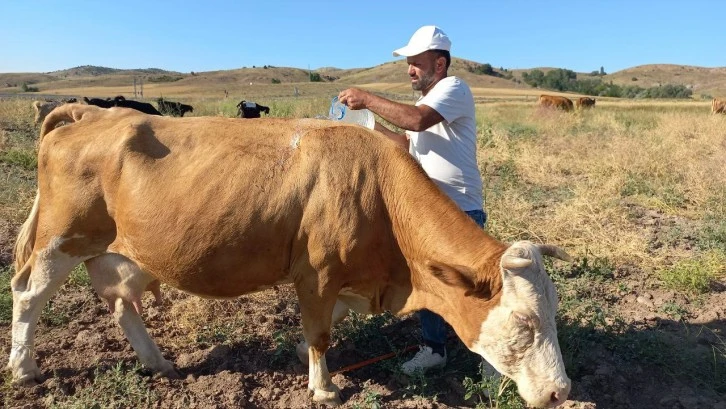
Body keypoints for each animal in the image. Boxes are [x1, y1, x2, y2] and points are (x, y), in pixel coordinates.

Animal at [7, 103, 576, 406]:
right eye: (524, 323)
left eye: (553, 316)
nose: (561, 392)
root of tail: (92, 111)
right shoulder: (318, 273)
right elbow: (322, 329)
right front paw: (323, 388)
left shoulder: (340, 278)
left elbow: (328, 323)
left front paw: (305, 358)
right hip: (61, 240)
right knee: (28, 297)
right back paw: (24, 367)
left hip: (117, 251)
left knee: (123, 305)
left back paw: (158, 363)